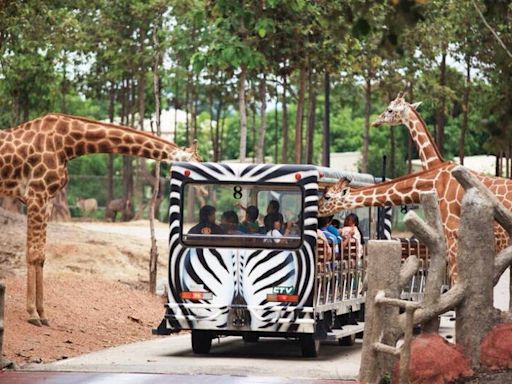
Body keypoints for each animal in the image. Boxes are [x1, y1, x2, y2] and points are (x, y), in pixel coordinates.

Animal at [0, 112, 200, 326]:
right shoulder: (35, 195)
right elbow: (33, 254)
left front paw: (42, 313)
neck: (67, 144)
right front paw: (32, 314)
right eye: (198, 161)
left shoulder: (47, 200)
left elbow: (41, 256)